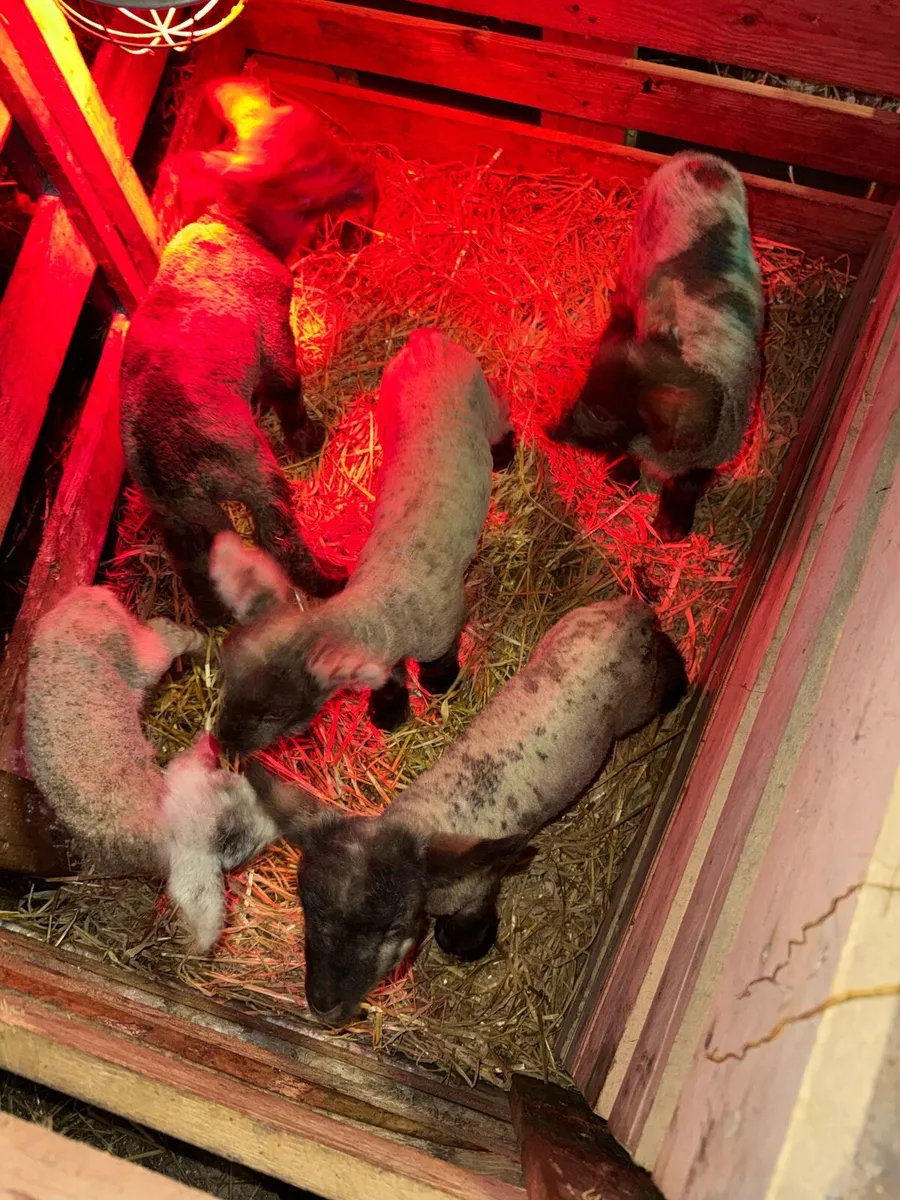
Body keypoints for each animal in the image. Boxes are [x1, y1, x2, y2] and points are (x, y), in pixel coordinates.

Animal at [119, 77, 376, 624]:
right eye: (308, 174)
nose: (364, 179)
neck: (236, 226)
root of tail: (167, 468)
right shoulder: (273, 321)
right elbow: (287, 386)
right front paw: (306, 439)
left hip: (178, 518)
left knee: (194, 564)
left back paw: (214, 616)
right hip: (251, 470)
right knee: (278, 538)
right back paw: (330, 578)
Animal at [209, 328, 515, 753]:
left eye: (276, 713)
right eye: (227, 681)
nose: (223, 743)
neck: (382, 599)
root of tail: (426, 339)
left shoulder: (444, 628)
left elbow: (438, 661)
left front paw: (438, 683)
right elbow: (389, 677)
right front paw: (388, 711)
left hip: (482, 398)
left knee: (501, 412)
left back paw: (505, 455)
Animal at [245, 594, 687, 1026]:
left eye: (392, 929)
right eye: (306, 908)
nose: (323, 1006)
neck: (423, 819)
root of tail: (630, 611)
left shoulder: (477, 887)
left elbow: (470, 923)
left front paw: (465, 946)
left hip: (639, 699)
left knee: (665, 673)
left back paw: (683, 687)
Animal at [549, 151, 765, 542]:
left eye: (603, 414)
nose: (551, 431)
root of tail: (701, 160)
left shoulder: (710, 456)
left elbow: (686, 486)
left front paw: (671, 531)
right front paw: (621, 483)